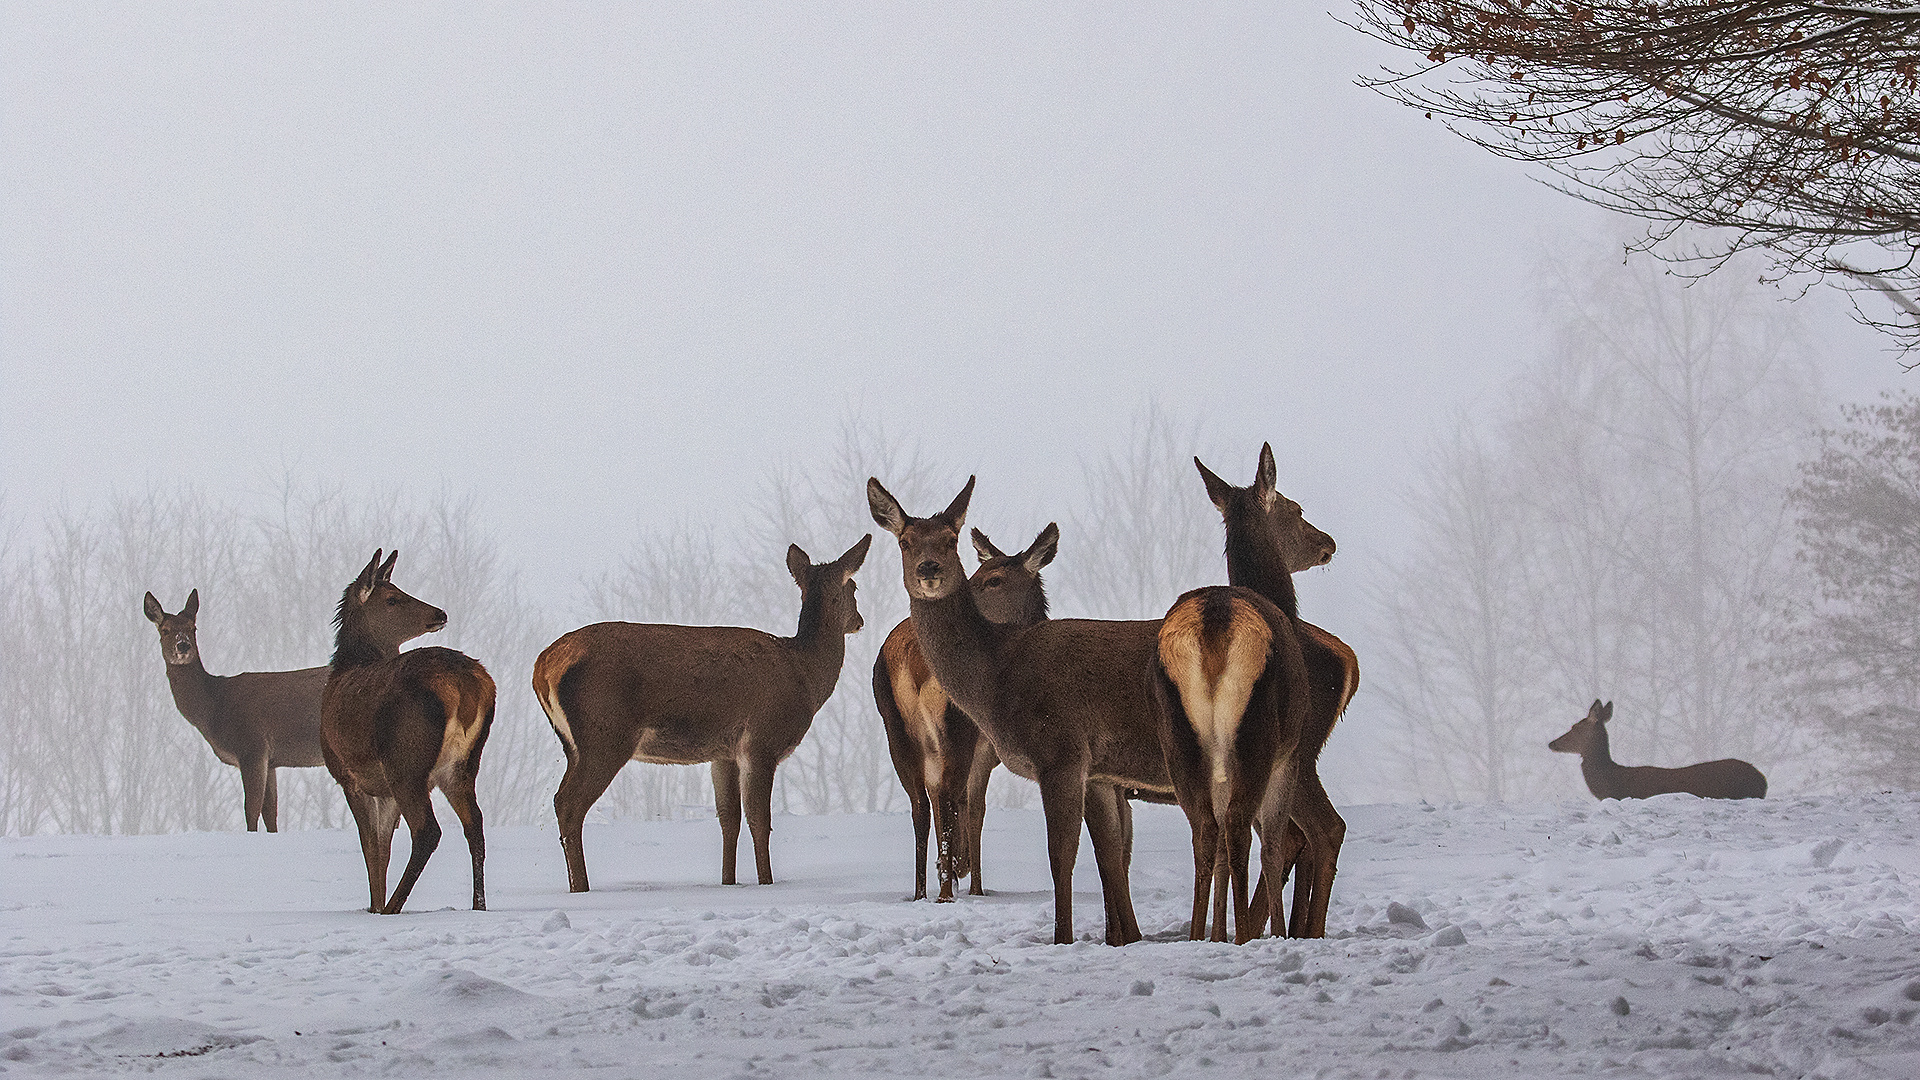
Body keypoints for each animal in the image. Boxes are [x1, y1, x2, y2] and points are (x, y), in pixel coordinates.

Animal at [144, 588, 332, 834]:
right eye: (165, 630)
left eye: (192, 628)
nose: (183, 646)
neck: (214, 708)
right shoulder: (270, 759)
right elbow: (270, 814)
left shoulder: (252, 746)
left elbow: (250, 811)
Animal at [318, 545, 495, 907]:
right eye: (393, 598)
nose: (440, 613)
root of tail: (466, 685)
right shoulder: (382, 790)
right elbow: (382, 850)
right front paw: (374, 905)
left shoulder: (349, 776)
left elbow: (371, 849)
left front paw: (375, 907)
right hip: (461, 764)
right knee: (475, 825)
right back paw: (478, 906)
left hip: (406, 758)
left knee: (428, 831)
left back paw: (393, 907)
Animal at [537, 530, 875, 891]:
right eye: (854, 587)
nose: (859, 621)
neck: (805, 672)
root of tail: (543, 666)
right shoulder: (761, 741)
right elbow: (759, 820)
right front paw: (766, 883)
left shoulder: (723, 753)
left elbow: (729, 819)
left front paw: (728, 882)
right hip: (605, 733)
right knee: (568, 804)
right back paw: (581, 888)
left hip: (573, 744)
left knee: (561, 801)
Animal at [879, 522, 1059, 899]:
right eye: (978, 573)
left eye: (995, 580)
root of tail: (910, 658)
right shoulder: (986, 749)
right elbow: (975, 808)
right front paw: (972, 882)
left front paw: (954, 868)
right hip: (956, 727)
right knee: (948, 799)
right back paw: (949, 888)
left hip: (895, 727)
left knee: (921, 804)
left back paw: (922, 891)